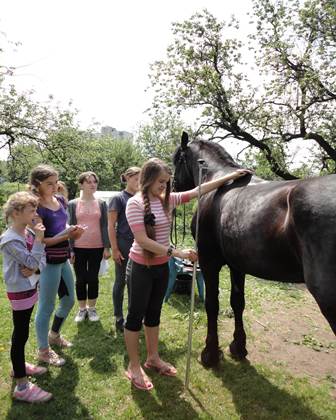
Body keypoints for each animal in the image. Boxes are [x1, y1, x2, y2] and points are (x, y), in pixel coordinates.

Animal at [173, 134, 336, 368]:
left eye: (176, 160)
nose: (174, 186)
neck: (218, 181)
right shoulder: (237, 265)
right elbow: (237, 302)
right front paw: (238, 347)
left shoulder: (209, 262)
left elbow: (212, 304)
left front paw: (210, 354)